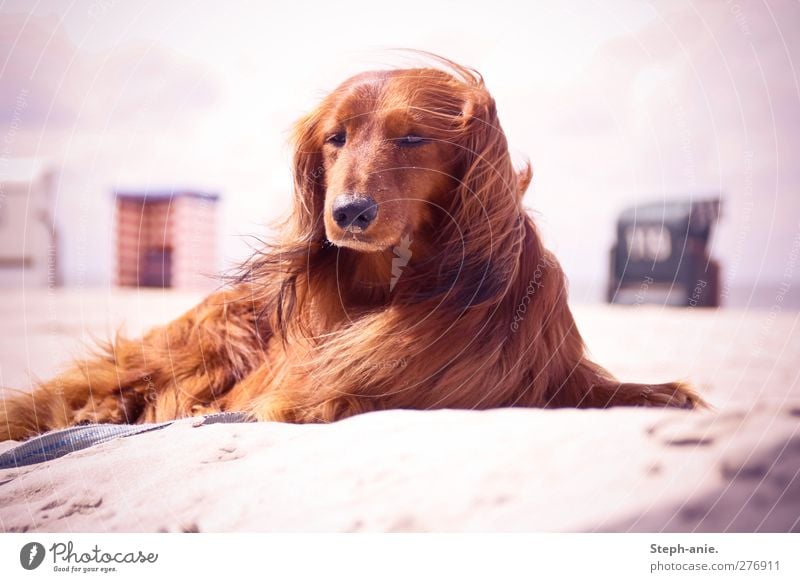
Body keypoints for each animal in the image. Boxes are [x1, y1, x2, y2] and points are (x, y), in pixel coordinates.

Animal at [0, 59, 704, 442]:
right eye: (334, 139)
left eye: (413, 138)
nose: (348, 214)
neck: (403, 270)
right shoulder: (285, 388)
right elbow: (329, 396)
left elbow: (652, 393)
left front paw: (669, 396)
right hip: (209, 338)